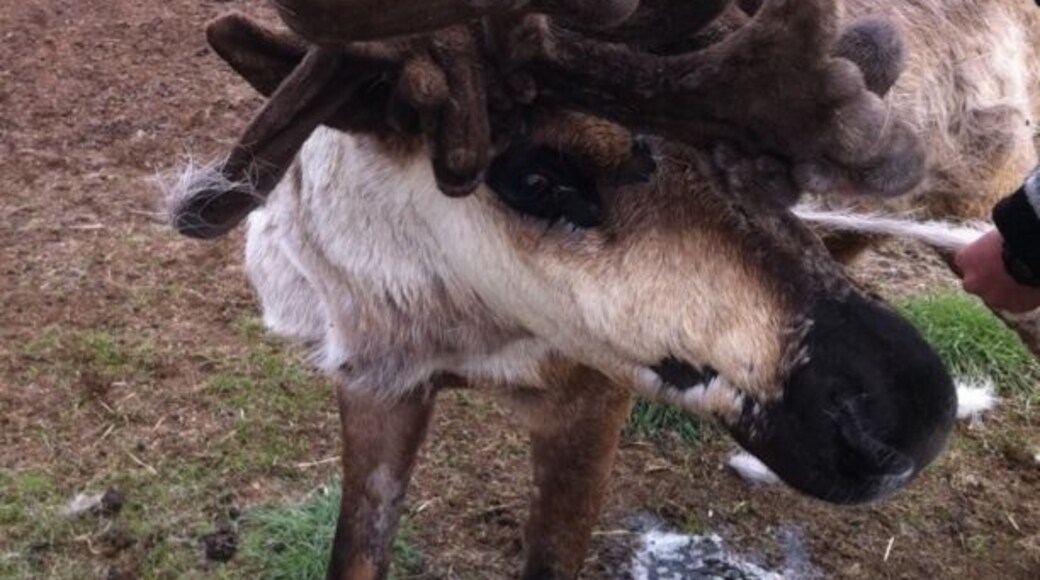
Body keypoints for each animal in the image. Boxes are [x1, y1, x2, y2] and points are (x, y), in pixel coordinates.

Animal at [163, 1, 961, 578]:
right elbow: (355, 552)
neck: (452, 324)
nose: (909, 413)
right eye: (537, 176)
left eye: (752, 170)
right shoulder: (375, 380)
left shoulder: (589, 400)